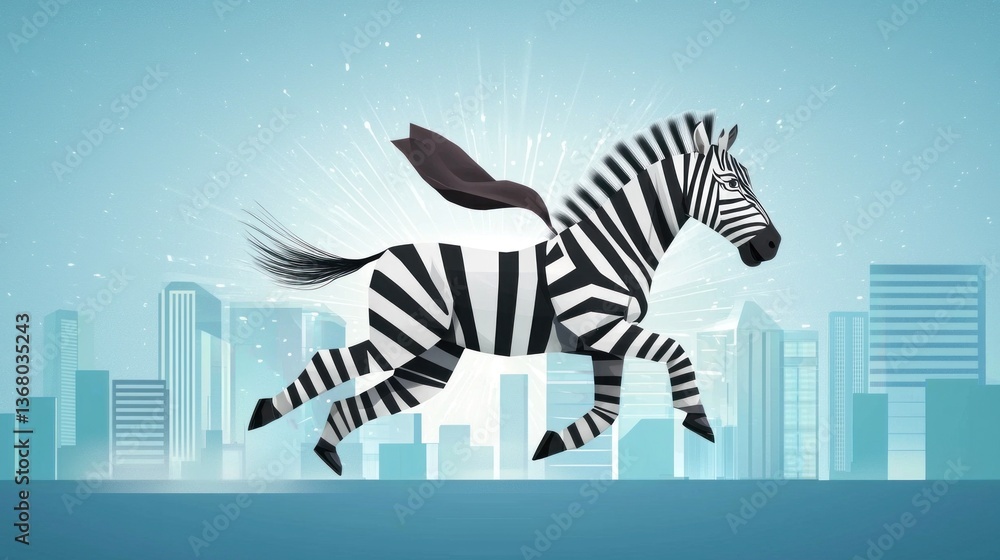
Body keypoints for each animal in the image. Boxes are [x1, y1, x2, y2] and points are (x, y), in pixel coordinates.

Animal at [245, 112, 781, 475]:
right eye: (729, 183)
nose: (772, 245)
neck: (613, 245)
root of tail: (388, 251)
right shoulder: (604, 329)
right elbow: (677, 351)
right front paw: (699, 420)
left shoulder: (605, 343)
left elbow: (607, 412)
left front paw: (549, 445)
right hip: (400, 335)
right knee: (330, 362)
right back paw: (264, 412)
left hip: (432, 359)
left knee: (361, 400)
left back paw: (327, 453)